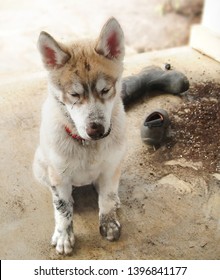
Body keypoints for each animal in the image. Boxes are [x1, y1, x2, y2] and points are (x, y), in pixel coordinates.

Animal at [32, 16, 125, 255]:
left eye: (105, 90)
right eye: (74, 95)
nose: (97, 130)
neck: (87, 145)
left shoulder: (112, 166)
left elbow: (107, 198)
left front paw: (108, 223)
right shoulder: (58, 175)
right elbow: (63, 209)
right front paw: (64, 235)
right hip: (40, 166)